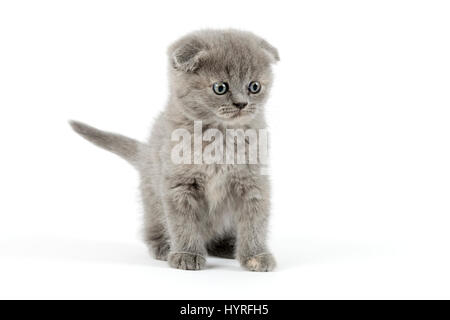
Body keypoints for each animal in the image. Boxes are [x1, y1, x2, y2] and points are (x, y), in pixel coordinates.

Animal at [71, 30, 280, 272]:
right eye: (220, 88)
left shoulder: (253, 182)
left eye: (254, 86)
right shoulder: (179, 185)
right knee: (152, 227)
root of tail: (145, 153)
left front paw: (256, 256)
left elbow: (255, 221)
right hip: (152, 199)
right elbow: (183, 222)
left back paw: (228, 246)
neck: (220, 137)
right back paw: (164, 247)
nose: (241, 104)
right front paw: (187, 254)